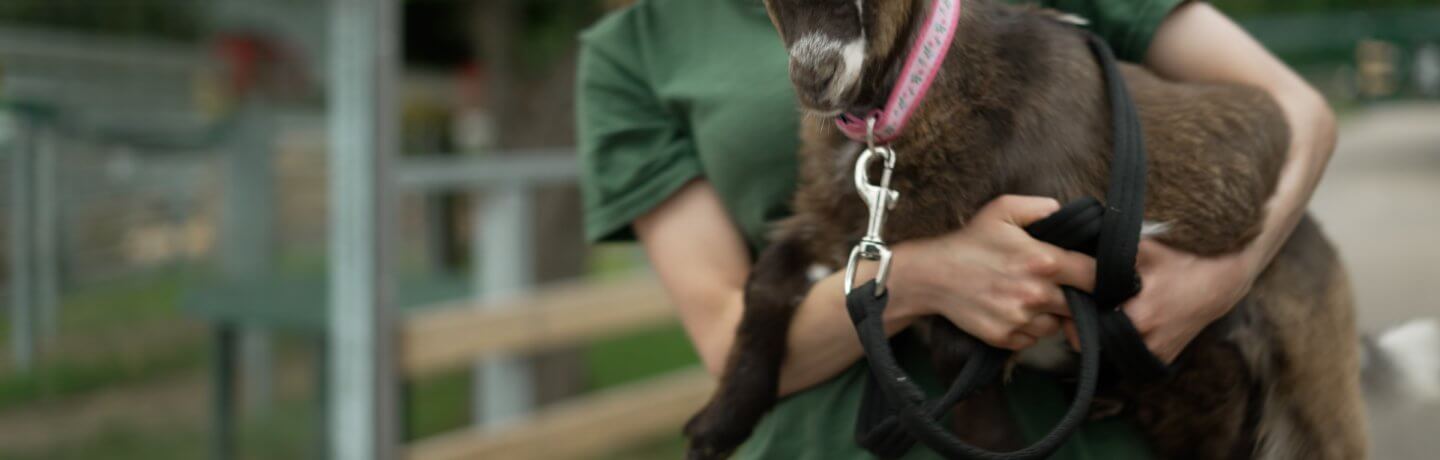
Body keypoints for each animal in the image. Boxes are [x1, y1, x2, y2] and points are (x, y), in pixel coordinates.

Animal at [679, 0, 1365, 460]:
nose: (814, 78)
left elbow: (964, 353)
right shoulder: (841, 229)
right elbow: (765, 284)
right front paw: (717, 424)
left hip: (1314, 375)